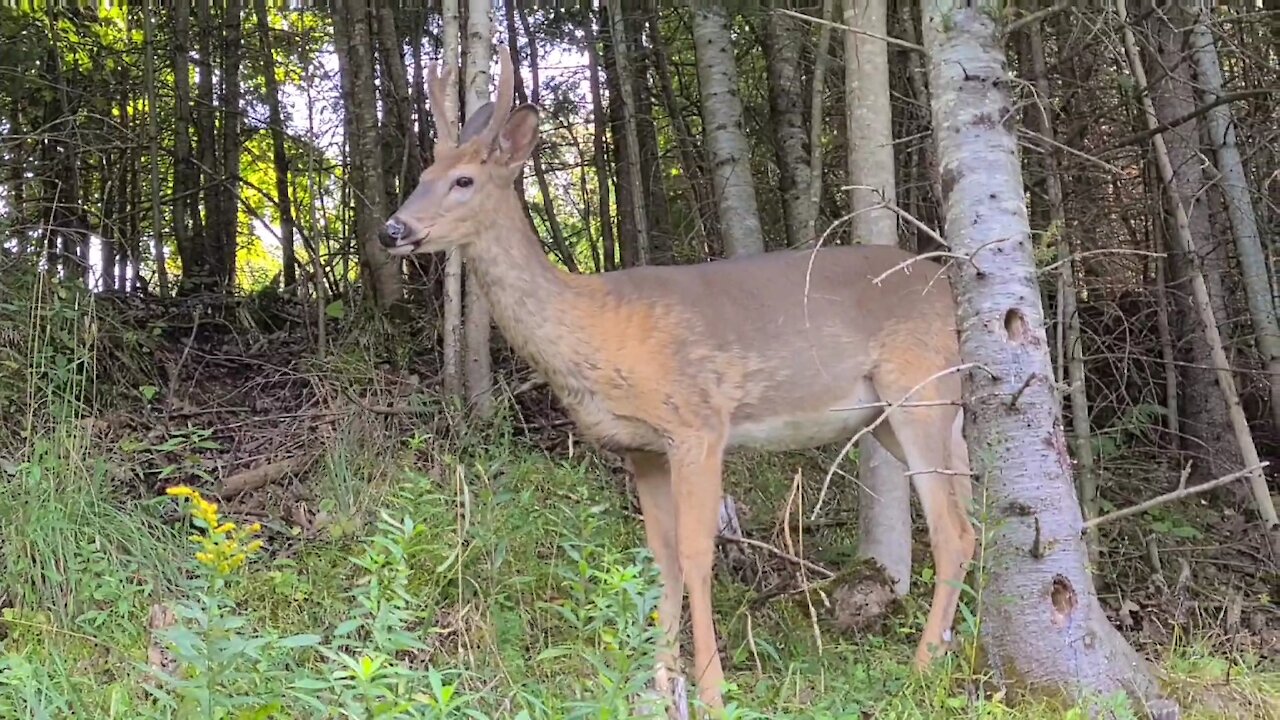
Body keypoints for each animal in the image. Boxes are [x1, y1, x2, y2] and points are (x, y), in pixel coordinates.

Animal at [376, 44, 967, 712]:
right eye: (422, 175)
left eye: (464, 181)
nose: (392, 230)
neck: (594, 328)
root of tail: (952, 292)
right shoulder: (641, 448)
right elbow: (662, 559)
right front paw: (658, 681)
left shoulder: (697, 423)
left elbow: (696, 553)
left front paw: (711, 688)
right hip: (901, 413)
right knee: (972, 521)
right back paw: (956, 651)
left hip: (919, 391)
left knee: (951, 531)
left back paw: (922, 667)